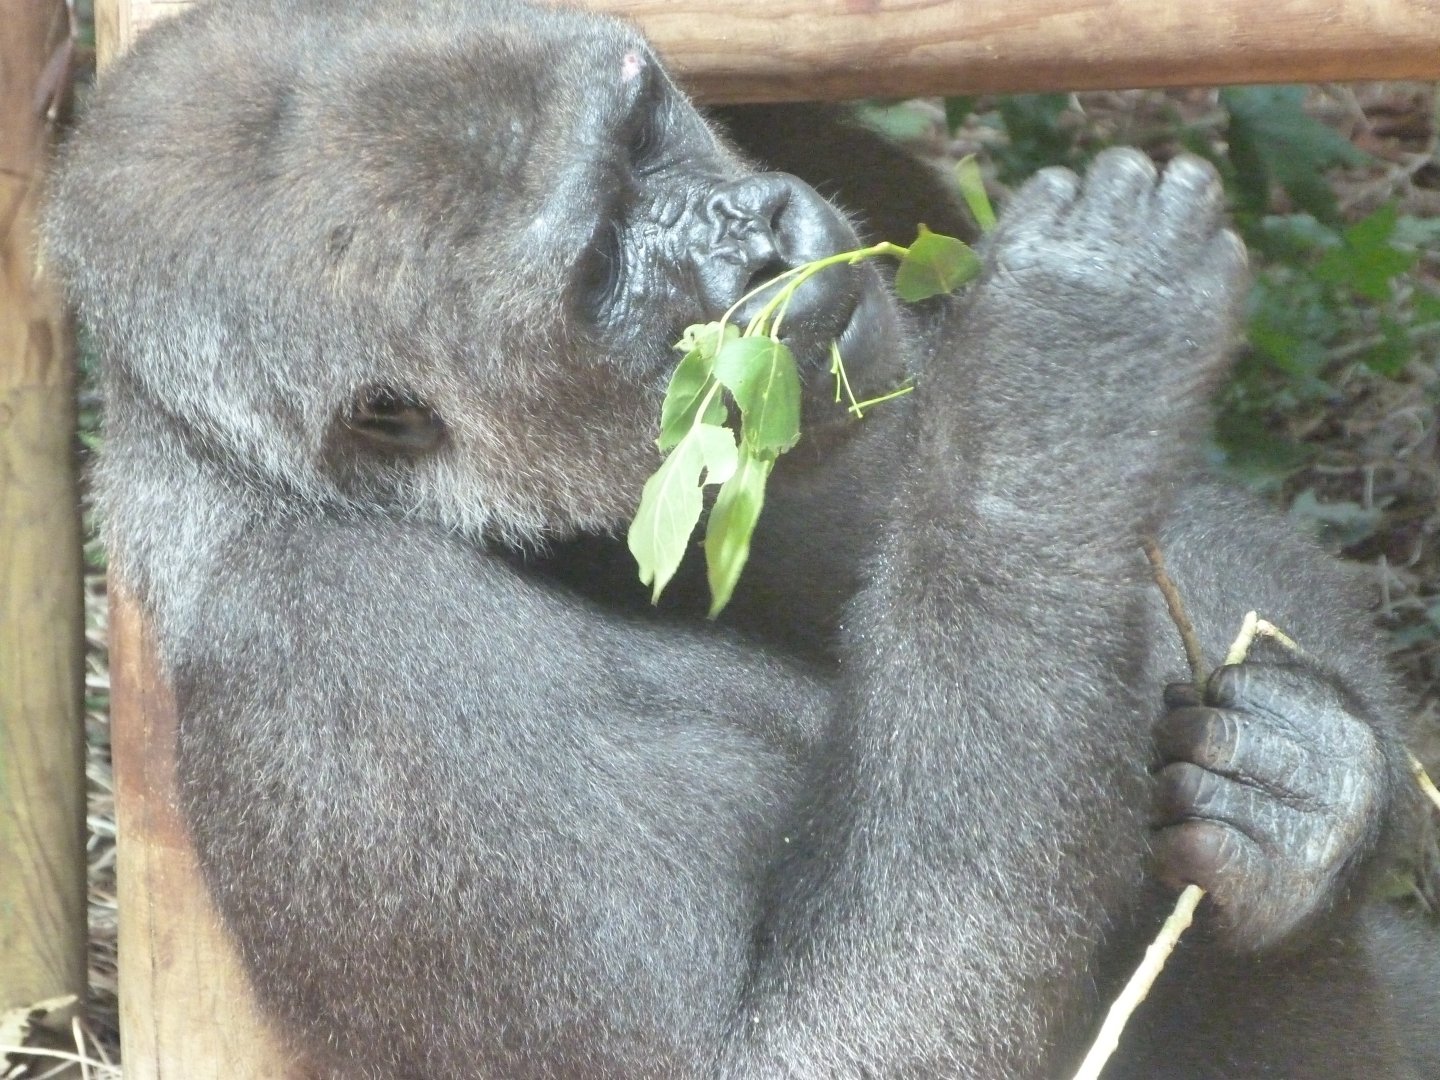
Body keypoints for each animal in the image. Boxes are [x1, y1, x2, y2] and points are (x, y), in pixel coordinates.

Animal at [44, 0, 1435, 1076]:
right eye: (602, 263)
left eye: (645, 127)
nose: (759, 236)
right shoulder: (342, 654)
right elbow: (793, 1052)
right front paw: (1065, 384)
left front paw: (1312, 794)